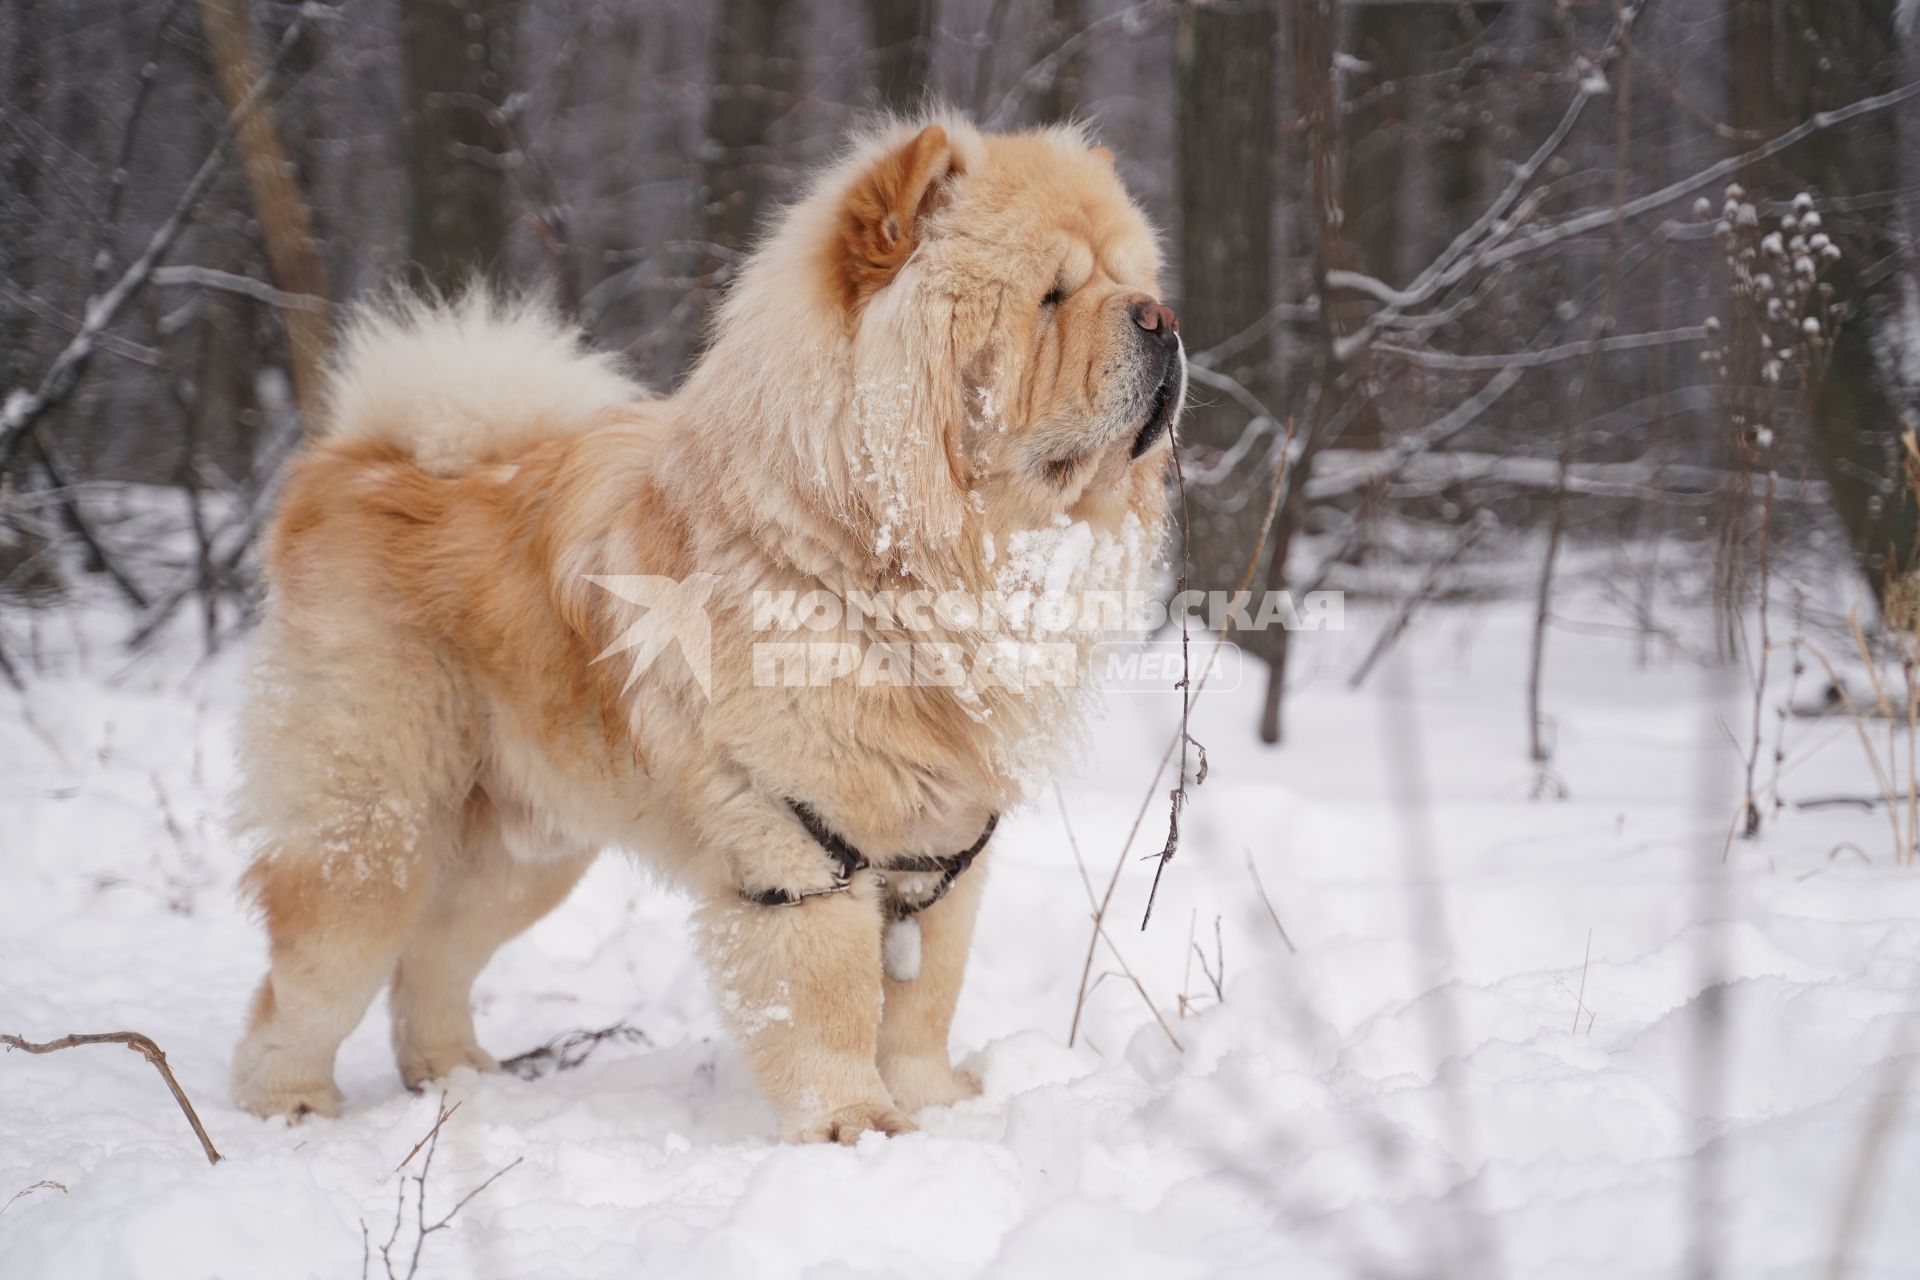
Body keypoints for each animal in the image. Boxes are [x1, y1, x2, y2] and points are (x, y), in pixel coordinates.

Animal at [230, 115, 1175, 1143]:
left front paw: (934, 1103)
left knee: (434, 956)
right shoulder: (799, 837)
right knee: (311, 974)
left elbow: (924, 1000)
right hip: (379, 822)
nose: (1162, 322)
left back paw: (455, 1077)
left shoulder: (944, 849)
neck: (893, 568)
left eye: (1135, 282)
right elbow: (833, 1004)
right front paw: (857, 1126)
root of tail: (359, 456)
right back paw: (286, 1105)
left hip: (526, 851)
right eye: (1052, 296)